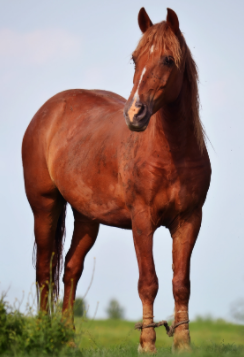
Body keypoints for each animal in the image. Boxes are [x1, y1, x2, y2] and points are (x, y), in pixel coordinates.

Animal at [21, 6, 211, 352]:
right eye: (135, 59)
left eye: (168, 59)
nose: (134, 114)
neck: (172, 153)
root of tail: (48, 111)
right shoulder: (142, 220)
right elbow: (148, 282)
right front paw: (147, 344)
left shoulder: (189, 220)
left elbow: (181, 283)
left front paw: (183, 344)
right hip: (44, 206)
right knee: (44, 270)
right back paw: (43, 335)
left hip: (87, 217)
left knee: (70, 270)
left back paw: (69, 340)